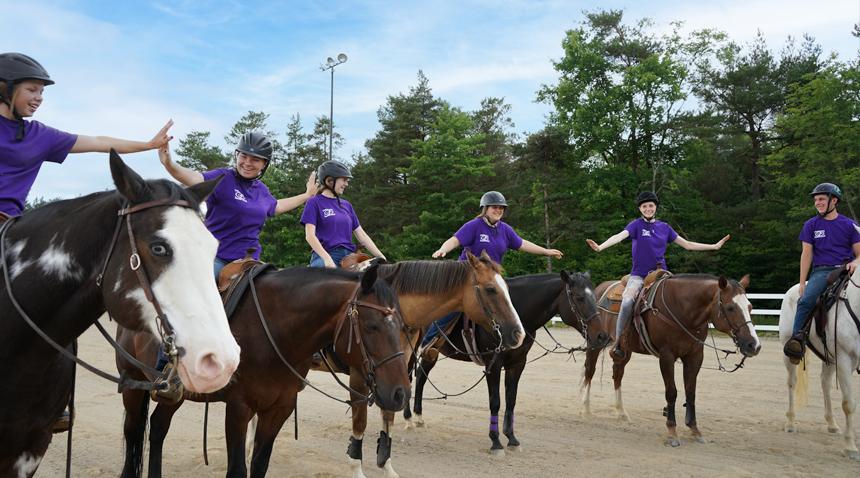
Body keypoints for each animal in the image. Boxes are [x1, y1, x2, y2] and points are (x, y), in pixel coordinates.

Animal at [116, 264, 412, 476]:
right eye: (372, 326)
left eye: (402, 326)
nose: (400, 394)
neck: (274, 332)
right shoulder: (239, 408)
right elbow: (238, 469)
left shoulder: (279, 409)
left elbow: (259, 465)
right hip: (132, 383)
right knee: (132, 433)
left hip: (174, 396)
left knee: (157, 428)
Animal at [408, 270, 604, 454]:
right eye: (579, 298)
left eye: (595, 297)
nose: (603, 336)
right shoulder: (493, 364)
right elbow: (495, 401)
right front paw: (495, 441)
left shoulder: (518, 364)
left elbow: (511, 399)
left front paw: (511, 438)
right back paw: (408, 418)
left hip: (432, 353)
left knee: (421, 376)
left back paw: (418, 417)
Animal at [584, 274, 760, 446]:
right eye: (730, 307)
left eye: (750, 307)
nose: (754, 345)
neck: (682, 311)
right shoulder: (666, 356)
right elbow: (671, 392)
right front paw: (672, 432)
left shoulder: (695, 356)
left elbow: (691, 392)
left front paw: (694, 429)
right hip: (595, 343)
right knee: (590, 371)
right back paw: (585, 409)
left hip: (625, 351)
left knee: (617, 374)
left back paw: (621, 413)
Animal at [780, 278, 860, 462]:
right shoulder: (844, 359)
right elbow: (849, 404)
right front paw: (850, 447)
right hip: (789, 351)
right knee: (792, 384)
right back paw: (791, 423)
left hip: (829, 358)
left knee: (825, 383)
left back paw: (832, 424)